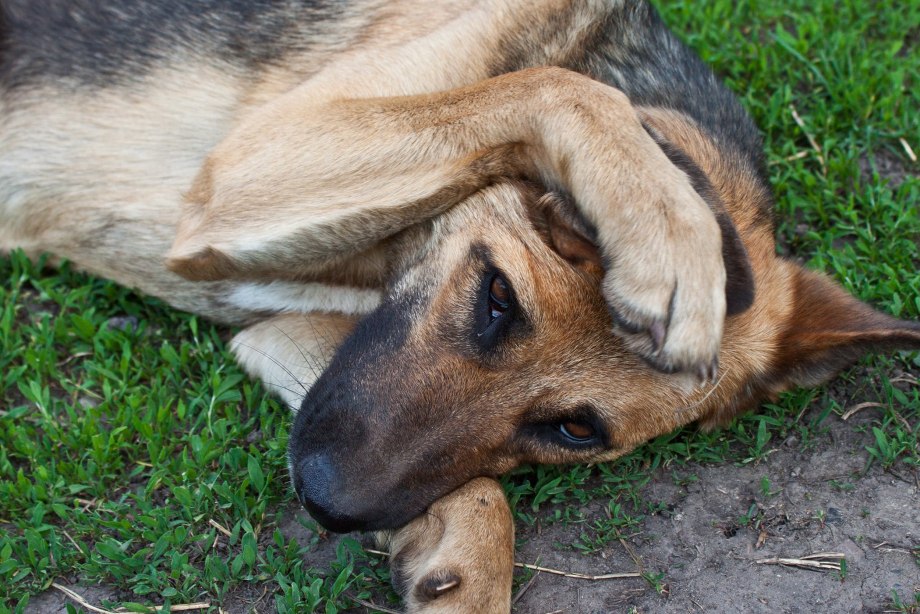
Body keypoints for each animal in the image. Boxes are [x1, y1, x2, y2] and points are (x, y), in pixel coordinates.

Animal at [0, 0, 916, 612]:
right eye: (499, 297)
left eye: (574, 429)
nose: (323, 500)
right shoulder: (250, 164)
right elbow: (557, 88)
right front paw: (665, 228)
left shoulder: (289, 330)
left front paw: (464, 552)